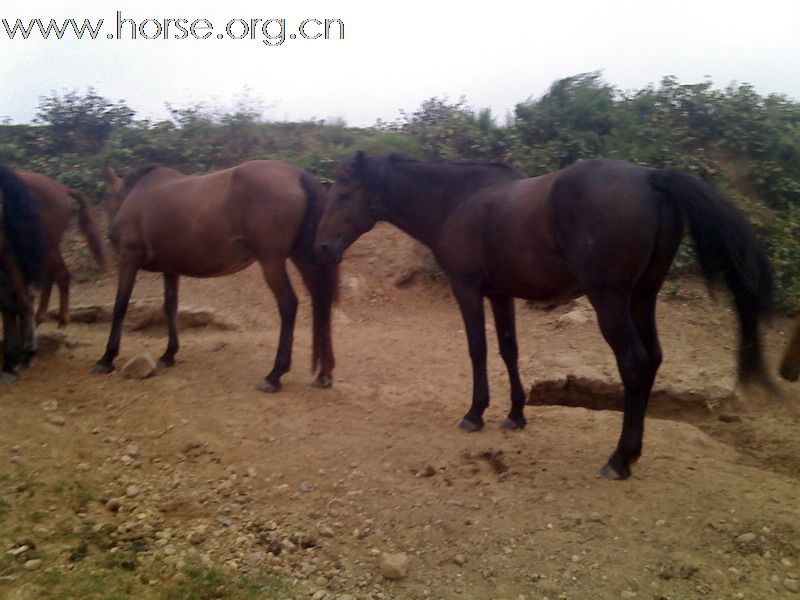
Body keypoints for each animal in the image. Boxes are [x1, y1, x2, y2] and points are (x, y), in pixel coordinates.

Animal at [19, 171, 107, 326]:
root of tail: (62, 189)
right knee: (50, 277)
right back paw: (41, 317)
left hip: (48, 246)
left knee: (60, 275)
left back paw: (62, 319)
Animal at [94, 162, 338, 392]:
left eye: (106, 197)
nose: (110, 235)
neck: (137, 194)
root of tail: (297, 174)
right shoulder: (170, 268)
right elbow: (170, 306)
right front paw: (169, 354)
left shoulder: (129, 259)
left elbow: (120, 306)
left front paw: (106, 358)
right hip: (303, 257)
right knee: (321, 302)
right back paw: (324, 374)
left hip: (272, 261)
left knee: (288, 304)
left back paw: (274, 374)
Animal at [314, 152, 776, 480]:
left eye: (343, 194)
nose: (321, 247)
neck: (455, 201)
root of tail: (651, 178)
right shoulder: (501, 294)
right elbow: (508, 350)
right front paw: (515, 414)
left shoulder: (467, 289)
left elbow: (478, 349)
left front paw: (474, 414)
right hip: (643, 298)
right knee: (654, 360)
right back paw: (632, 453)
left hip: (610, 301)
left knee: (634, 363)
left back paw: (619, 459)